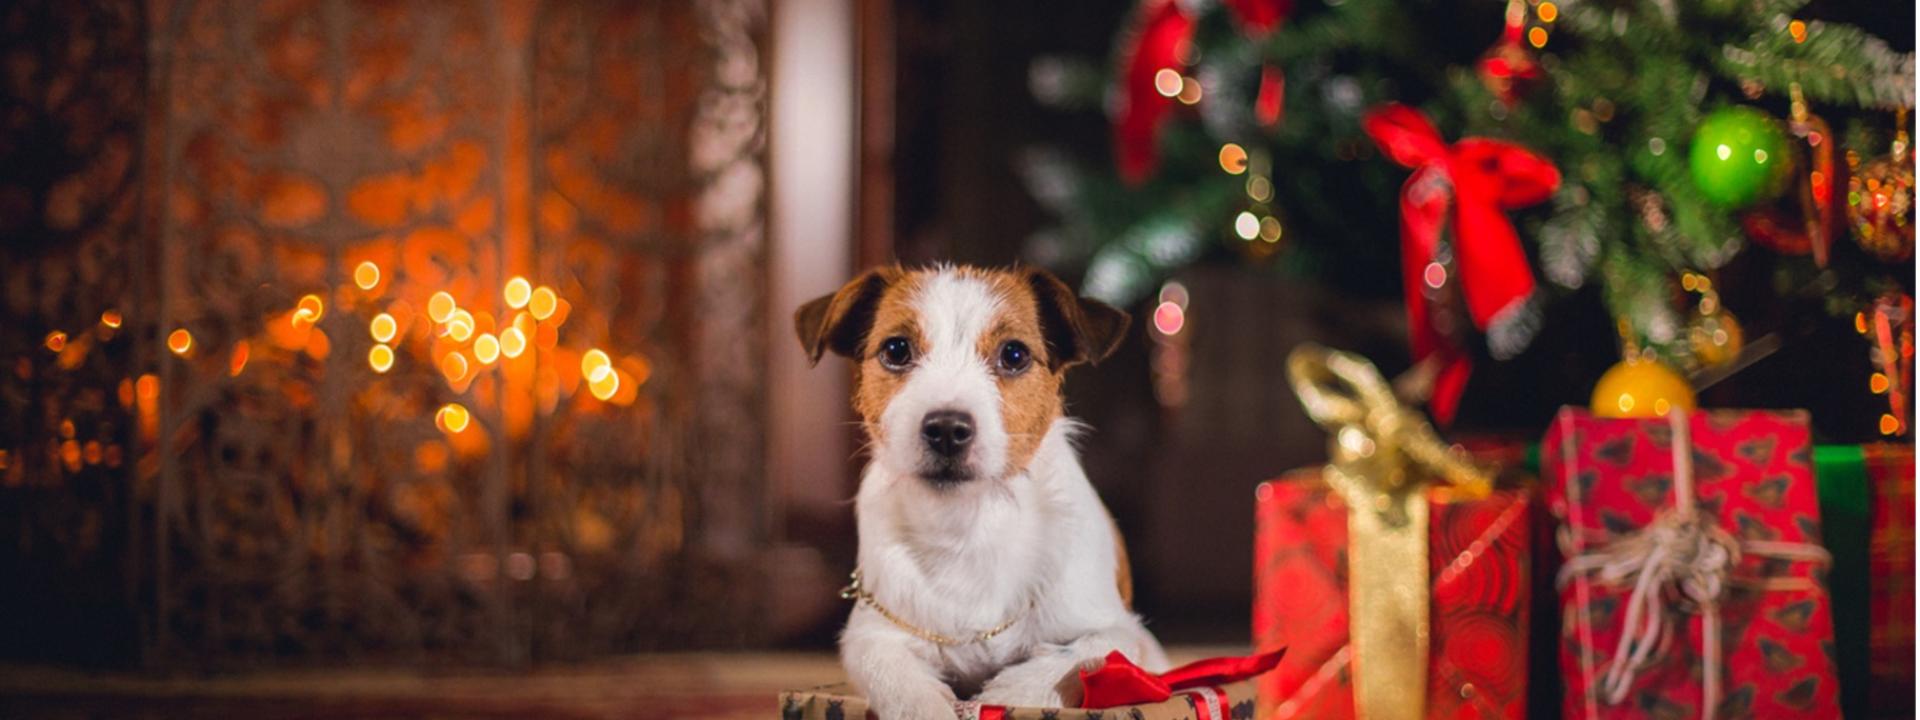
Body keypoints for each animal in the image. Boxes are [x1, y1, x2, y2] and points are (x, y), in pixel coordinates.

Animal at [794, 266, 1167, 720]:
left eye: (1014, 355)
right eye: (896, 349)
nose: (946, 429)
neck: (969, 526)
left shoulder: (1118, 630)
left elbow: (1081, 658)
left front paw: (1008, 693)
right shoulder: (873, 635)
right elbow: (896, 680)